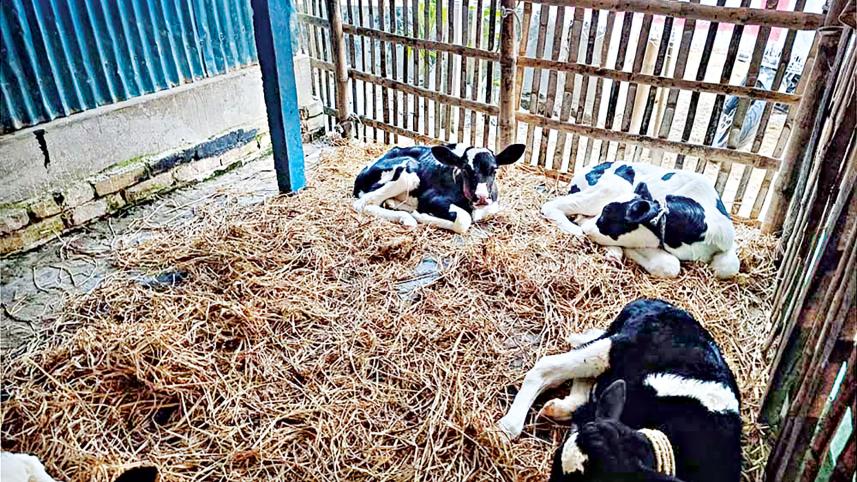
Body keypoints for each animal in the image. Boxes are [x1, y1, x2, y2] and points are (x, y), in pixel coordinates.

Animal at [353, 143, 526, 233]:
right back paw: (408, 218)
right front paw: (421, 216)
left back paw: (395, 205)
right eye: (465, 169)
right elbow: (464, 220)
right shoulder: (431, 198)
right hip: (408, 173)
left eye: (494, 170)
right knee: (363, 204)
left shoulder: (492, 205)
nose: (482, 197)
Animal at [540, 162, 740, 279]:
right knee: (553, 206)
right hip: (614, 187)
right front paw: (629, 251)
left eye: (608, 212)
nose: (588, 230)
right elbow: (670, 265)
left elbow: (729, 266)